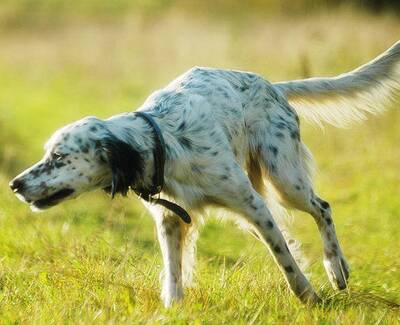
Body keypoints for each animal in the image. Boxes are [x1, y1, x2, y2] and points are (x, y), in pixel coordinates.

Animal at [9, 41, 400, 306]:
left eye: (59, 156)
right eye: (48, 153)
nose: (15, 184)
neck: (162, 142)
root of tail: (273, 86)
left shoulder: (251, 205)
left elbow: (283, 260)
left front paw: (307, 295)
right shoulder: (171, 220)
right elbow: (174, 271)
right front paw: (172, 307)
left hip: (284, 180)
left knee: (322, 208)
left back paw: (337, 268)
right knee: (289, 230)